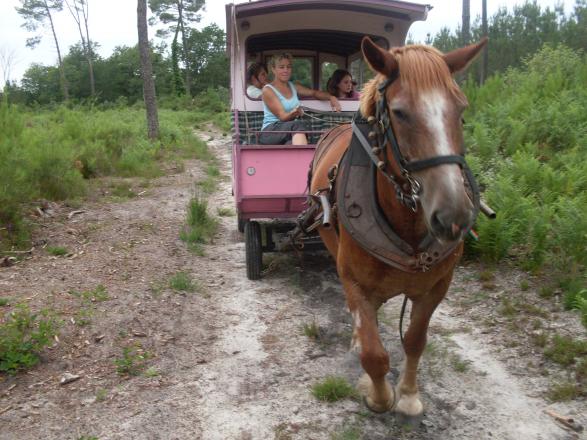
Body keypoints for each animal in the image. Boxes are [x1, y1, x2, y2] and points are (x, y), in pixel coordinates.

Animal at [310, 37, 490, 420]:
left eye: (461, 109)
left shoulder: (436, 287)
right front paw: (377, 394)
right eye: (400, 112)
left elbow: (415, 341)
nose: (453, 215)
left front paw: (408, 395)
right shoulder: (354, 281)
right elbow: (374, 354)